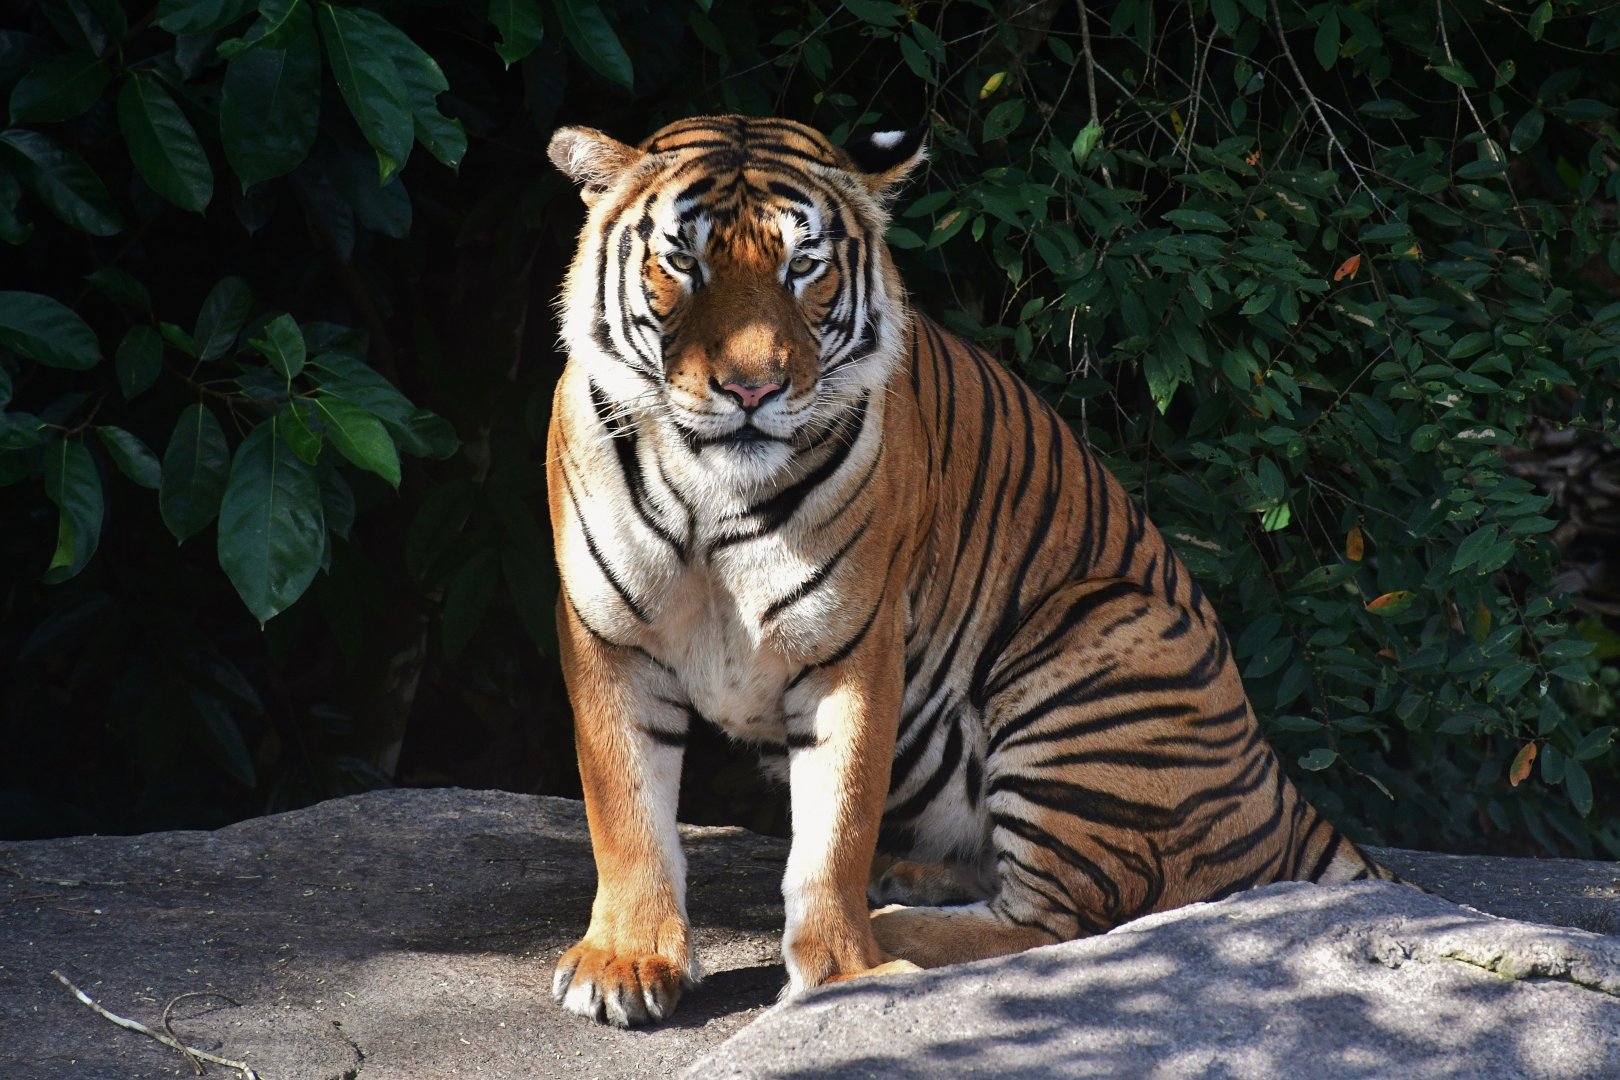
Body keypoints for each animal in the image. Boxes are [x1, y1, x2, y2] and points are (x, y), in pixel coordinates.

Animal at [544, 113, 1396, 1027]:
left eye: (802, 267)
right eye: (682, 263)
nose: (752, 390)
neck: (711, 485)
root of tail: (1280, 794)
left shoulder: (854, 645)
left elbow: (835, 827)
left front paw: (844, 974)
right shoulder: (605, 635)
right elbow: (625, 812)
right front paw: (624, 961)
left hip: (1088, 635)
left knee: (1069, 916)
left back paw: (897, 927)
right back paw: (912, 879)